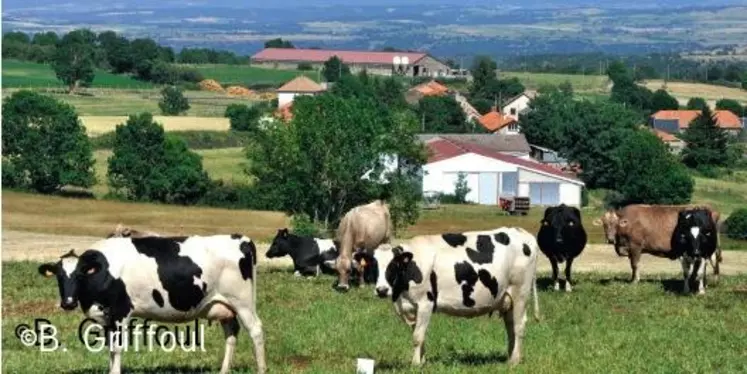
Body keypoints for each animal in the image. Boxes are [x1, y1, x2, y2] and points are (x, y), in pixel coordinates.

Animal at [38, 234, 268, 374]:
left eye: (80, 275)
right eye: (59, 276)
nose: (68, 302)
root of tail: (241, 239)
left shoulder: (121, 312)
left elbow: (117, 348)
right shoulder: (107, 317)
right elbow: (110, 348)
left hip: (243, 301)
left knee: (256, 330)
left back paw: (262, 369)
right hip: (223, 306)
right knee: (231, 333)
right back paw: (223, 370)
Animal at [372, 226, 540, 366]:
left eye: (393, 265)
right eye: (374, 266)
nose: (381, 290)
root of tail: (522, 232)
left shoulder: (426, 303)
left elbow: (417, 337)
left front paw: (415, 364)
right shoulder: (411, 307)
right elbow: (419, 335)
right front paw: (422, 361)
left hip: (521, 293)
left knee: (519, 326)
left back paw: (515, 361)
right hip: (508, 299)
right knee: (511, 327)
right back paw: (510, 358)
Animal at [592, 205, 720, 284]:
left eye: (616, 224)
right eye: (604, 224)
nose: (610, 239)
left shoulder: (635, 246)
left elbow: (635, 264)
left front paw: (635, 280)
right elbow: (632, 265)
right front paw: (633, 278)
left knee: (711, 263)